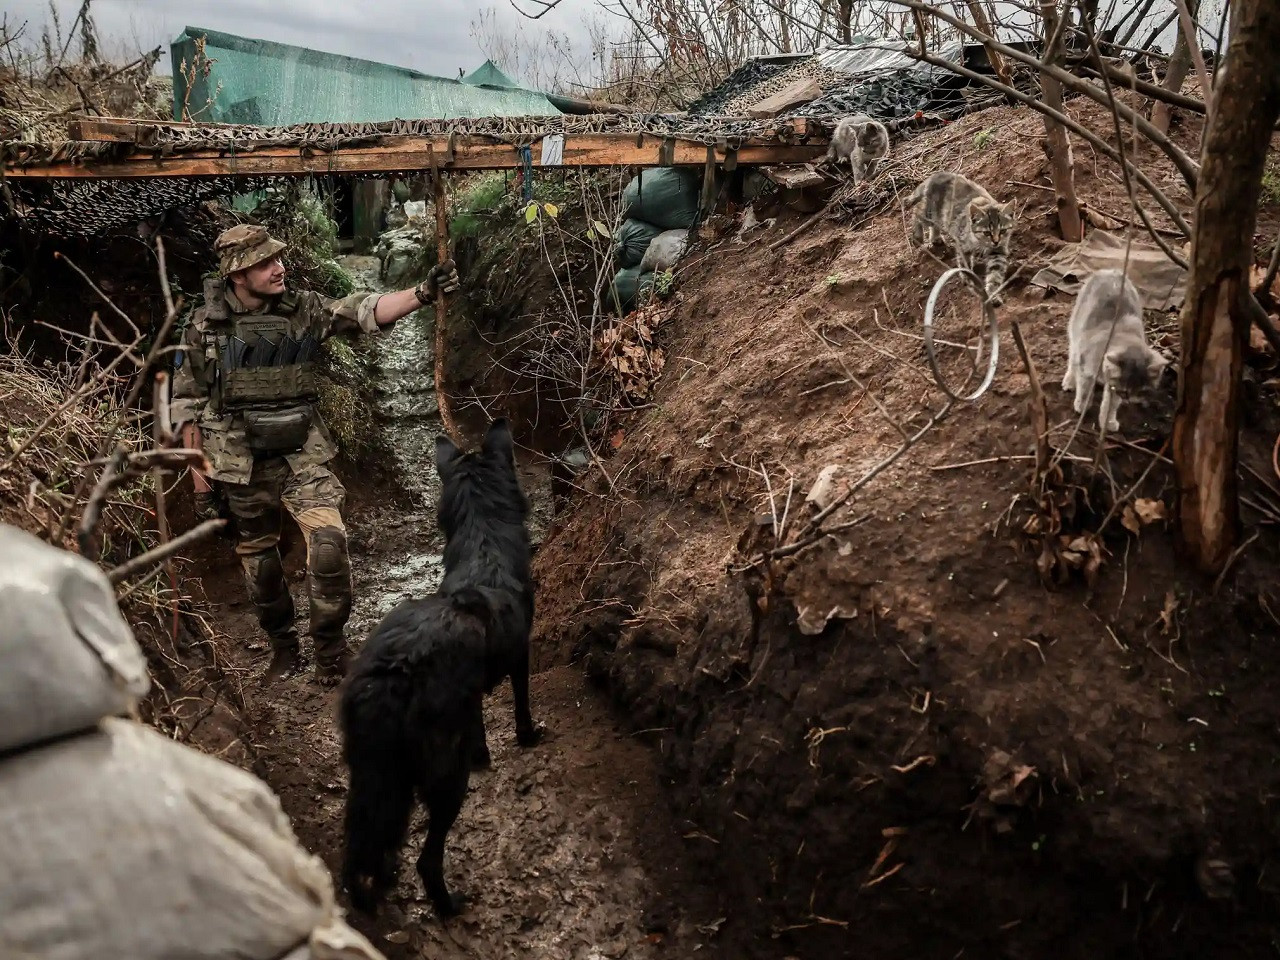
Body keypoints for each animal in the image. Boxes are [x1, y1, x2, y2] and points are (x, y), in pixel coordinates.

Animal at [337, 419, 537, 916]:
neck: (485, 546)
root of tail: (394, 672)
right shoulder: (521, 655)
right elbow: (522, 704)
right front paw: (529, 737)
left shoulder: (473, 697)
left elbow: (481, 727)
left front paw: (486, 753)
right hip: (443, 777)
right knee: (426, 858)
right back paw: (448, 905)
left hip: (374, 775)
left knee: (360, 845)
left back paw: (371, 891)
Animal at [906, 171, 1013, 302]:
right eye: (986, 233)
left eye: (1003, 231)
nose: (996, 241)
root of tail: (936, 174)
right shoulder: (962, 244)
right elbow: (964, 264)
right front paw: (969, 279)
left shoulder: (998, 252)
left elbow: (995, 274)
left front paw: (993, 294)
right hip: (930, 213)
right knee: (917, 211)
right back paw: (917, 236)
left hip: (938, 216)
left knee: (932, 223)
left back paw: (936, 238)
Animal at [1059, 267, 1172, 432]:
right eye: (1125, 392)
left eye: (1141, 391)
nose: (1130, 400)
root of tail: (1110, 270)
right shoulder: (1085, 364)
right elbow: (1085, 388)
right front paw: (1082, 405)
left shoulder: (1113, 385)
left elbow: (1111, 404)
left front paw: (1108, 421)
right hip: (1075, 331)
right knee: (1072, 357)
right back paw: (1069, 381)